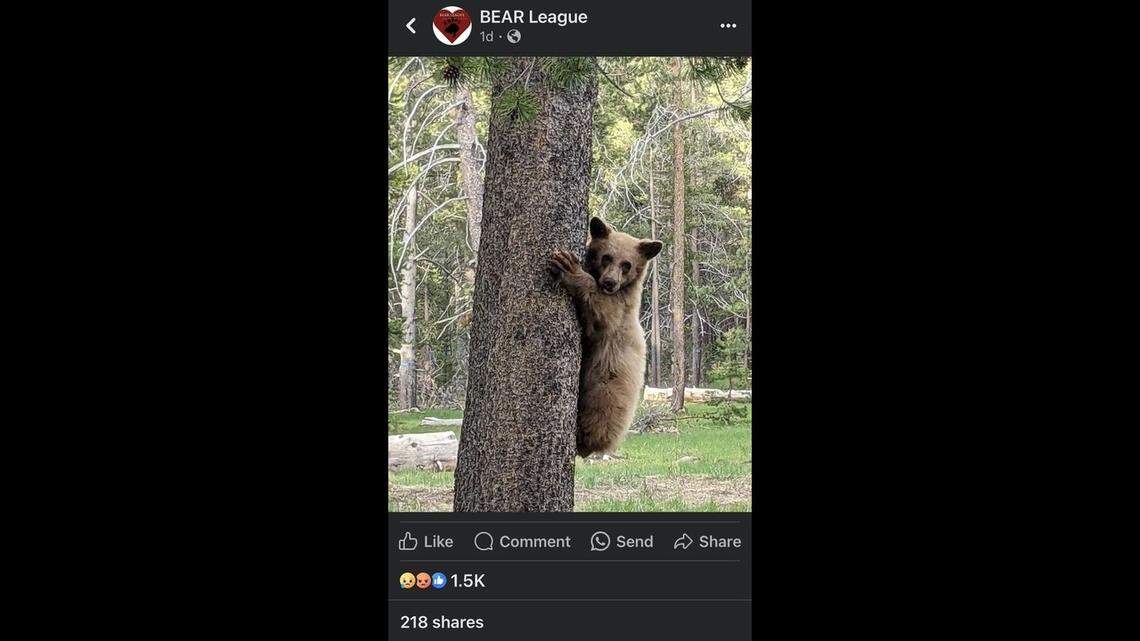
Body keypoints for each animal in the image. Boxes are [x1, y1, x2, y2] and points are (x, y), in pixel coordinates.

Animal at [548, 217, 663, 458]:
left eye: (627, 264)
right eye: (606, 257)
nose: (610, 282)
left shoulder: (619, 312)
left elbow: (602, 312)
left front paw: (569, 267)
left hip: (605, 386)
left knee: (598, 412)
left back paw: (584, 438)